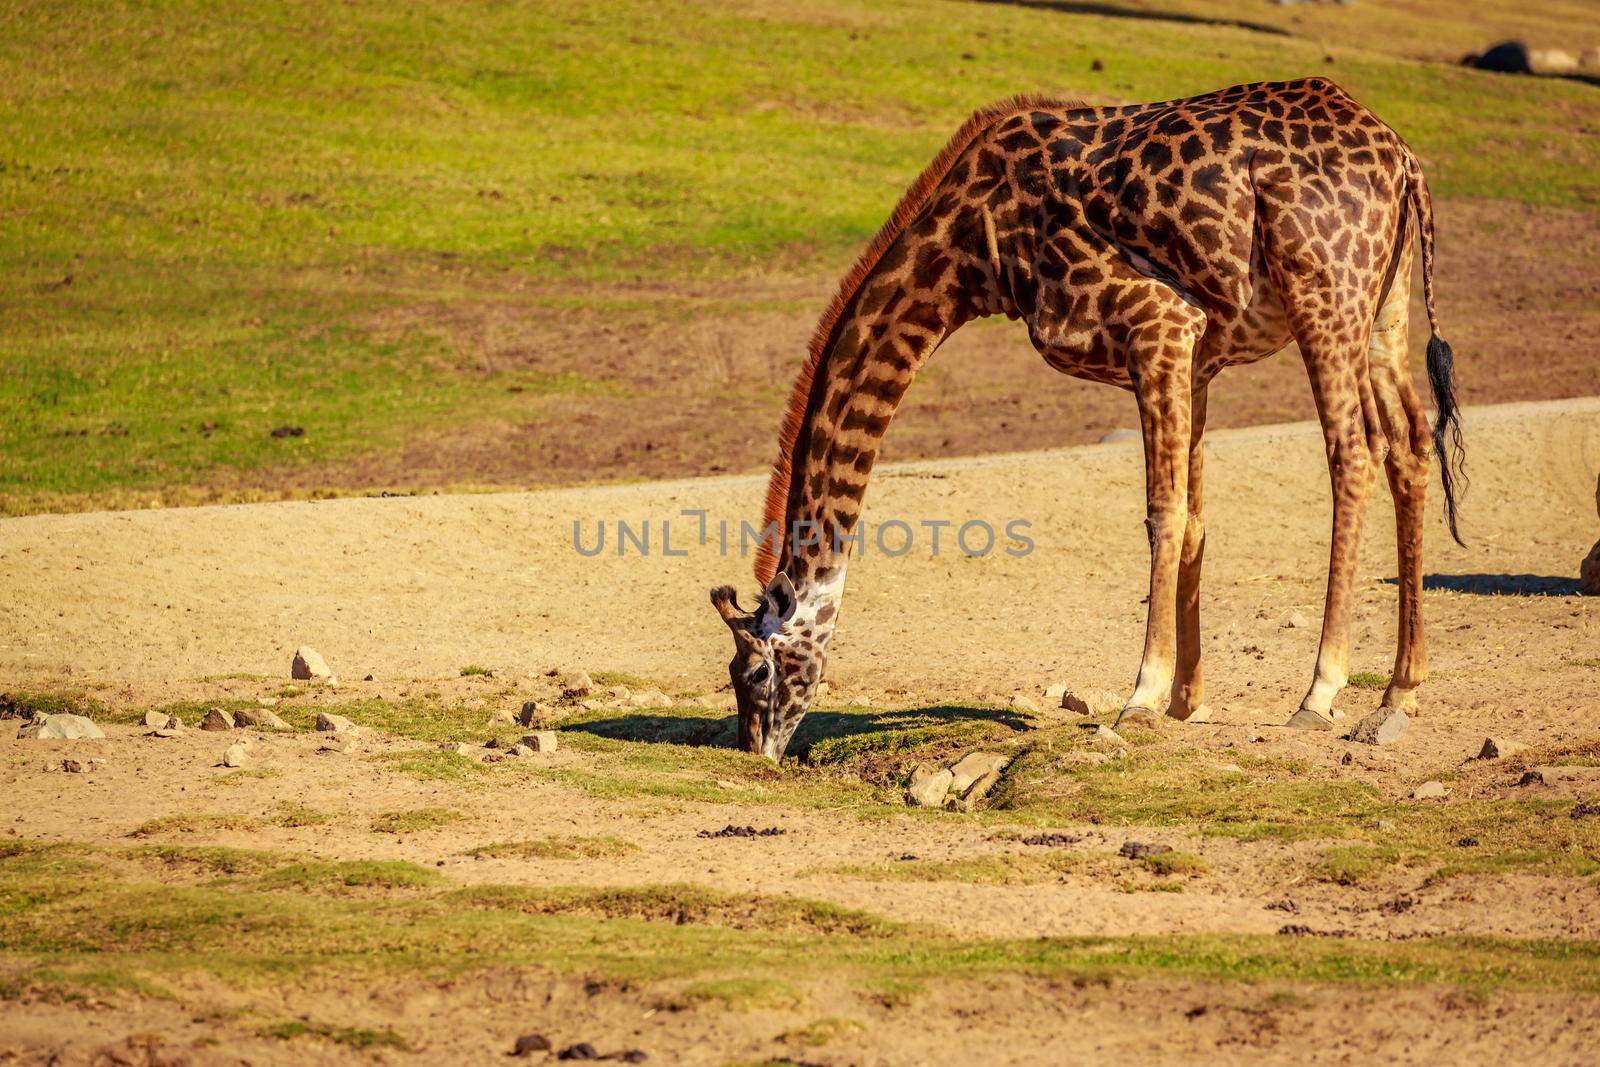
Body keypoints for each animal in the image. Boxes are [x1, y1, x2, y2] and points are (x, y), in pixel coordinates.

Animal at [713, 81, 1465, 758]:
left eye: (754, 672)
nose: (757, 751)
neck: (976, 248)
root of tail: (1404, 161)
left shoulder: (1159, 322)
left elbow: (1162, 512)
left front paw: (1141, 697)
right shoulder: (1199, 356)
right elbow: (1195, 517)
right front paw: (1187, 700)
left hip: (1325, 294)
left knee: (1353, 453)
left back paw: (1319, 691)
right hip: (1384, 308)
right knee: (1410, 446)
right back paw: (1402, 686)